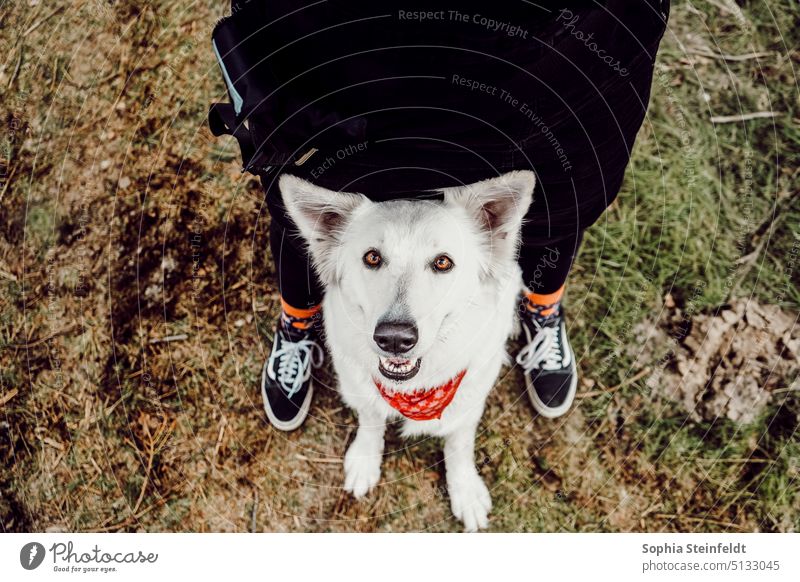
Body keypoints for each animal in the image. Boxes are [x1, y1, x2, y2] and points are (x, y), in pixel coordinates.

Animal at [278, 170, 536, 532]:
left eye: (442, 262)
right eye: (372, 257)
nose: (395, 339)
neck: (414, 390)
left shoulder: (469, 398)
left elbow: (459, 443)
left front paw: (465, 489)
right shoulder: (360, 385)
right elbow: (371, 418)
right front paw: (366, 460)